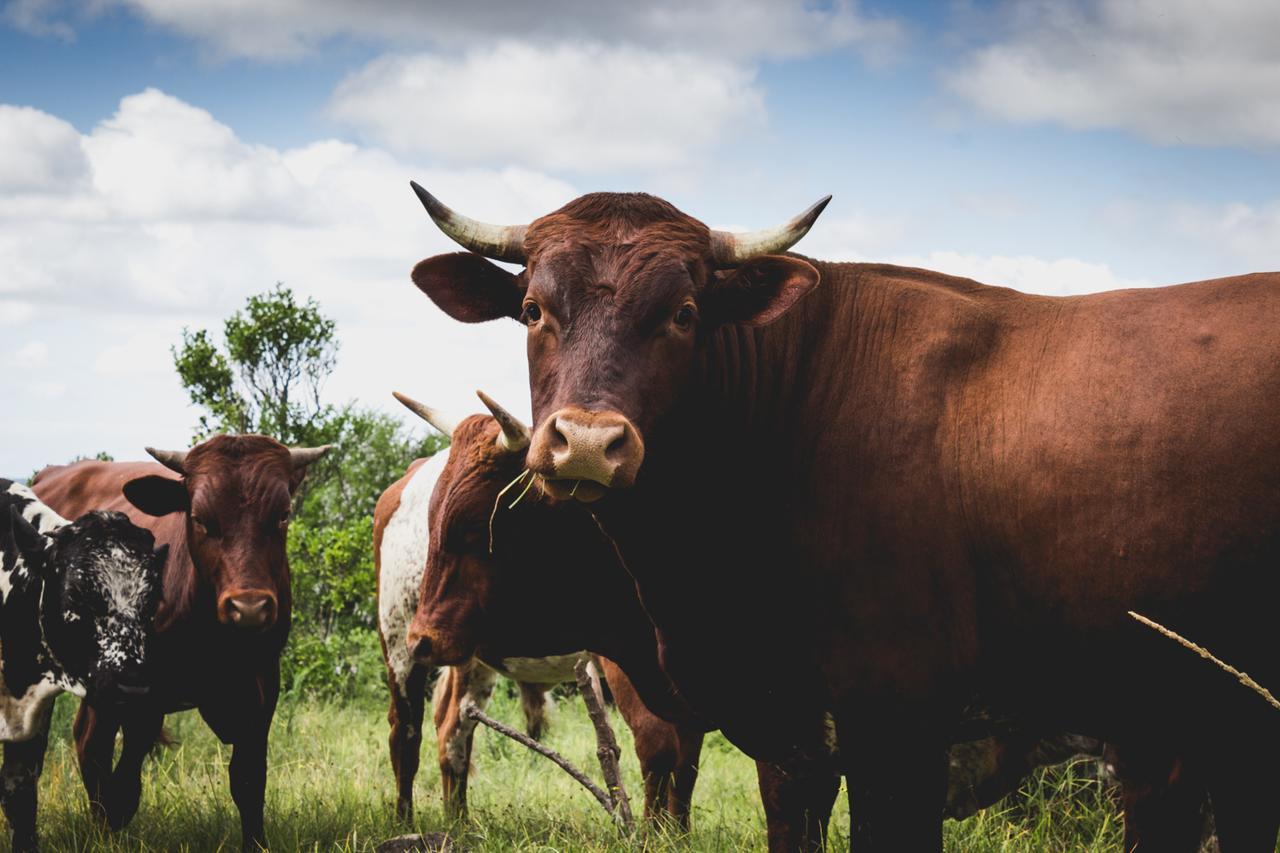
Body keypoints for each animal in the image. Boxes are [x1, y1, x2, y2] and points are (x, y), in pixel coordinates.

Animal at [35, 435, 330, 845]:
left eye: (282, 515)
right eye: (200, 518)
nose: (249, 608)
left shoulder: (262, 687)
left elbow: (249, 780)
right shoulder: (142, 695)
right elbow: (127, 778)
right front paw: (114, 822)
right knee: (84, 742)